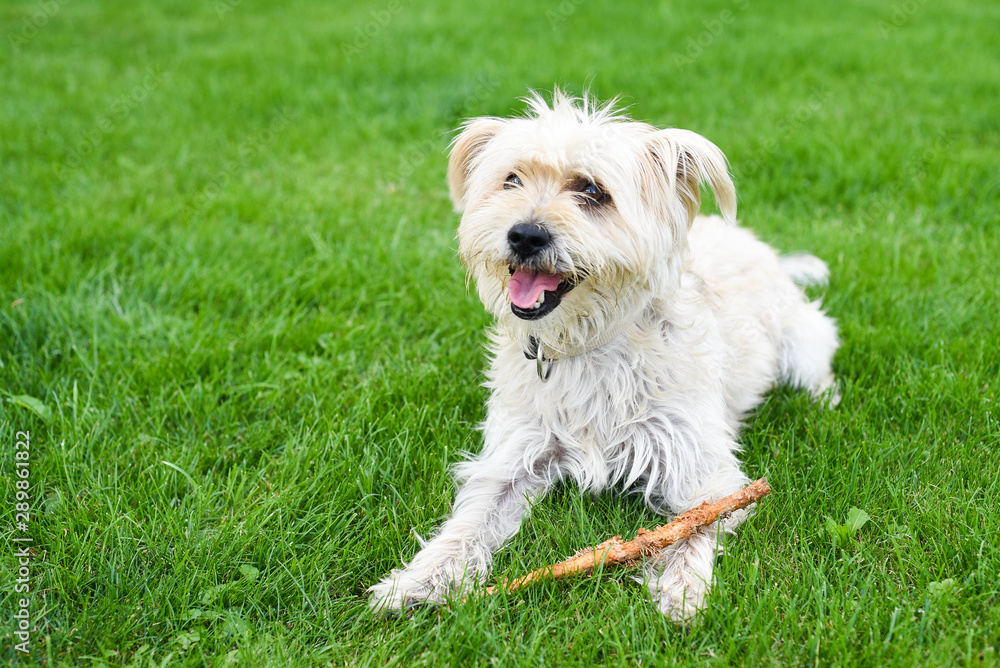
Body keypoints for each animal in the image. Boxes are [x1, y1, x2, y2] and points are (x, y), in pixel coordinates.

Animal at [368, 88, 836, 620]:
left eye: (592, 191)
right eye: (511, 179)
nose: (524, 235)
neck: (588, 347)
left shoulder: (702, 467)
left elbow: (696, 522)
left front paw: (681, 587)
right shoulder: (514, 455)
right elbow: (471, 519)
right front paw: (419, 580)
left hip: (801, 340)